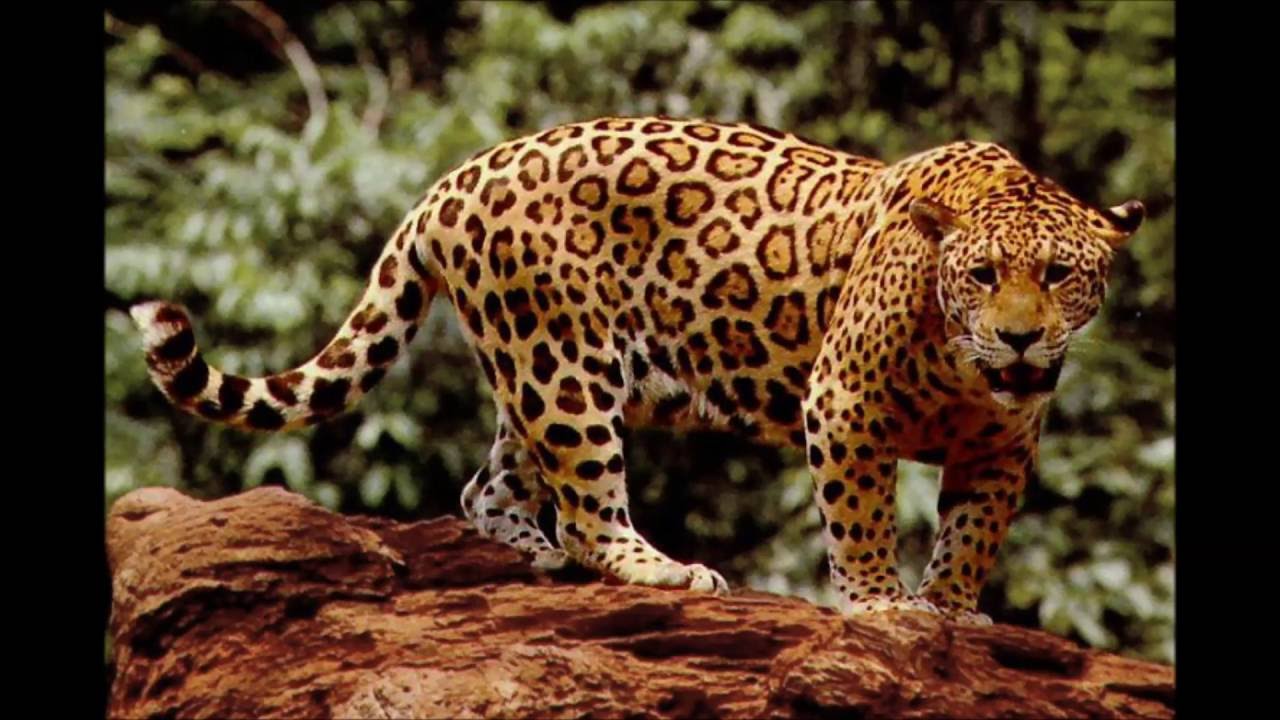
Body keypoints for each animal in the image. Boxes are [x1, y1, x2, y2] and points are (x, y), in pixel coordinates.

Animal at [131, 115, 1144, 623]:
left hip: (538, 369)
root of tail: (453, 179)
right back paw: (660, 570)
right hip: (565, 366)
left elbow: (973, 531)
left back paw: (534, 558)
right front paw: (881, 607)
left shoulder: (1002, 445)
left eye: (1059, 275)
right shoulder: (844, 401)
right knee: (586, 506)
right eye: (983, 276)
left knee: (489, 486)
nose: (1020, 339)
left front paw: (955, 609)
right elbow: (860, 515)